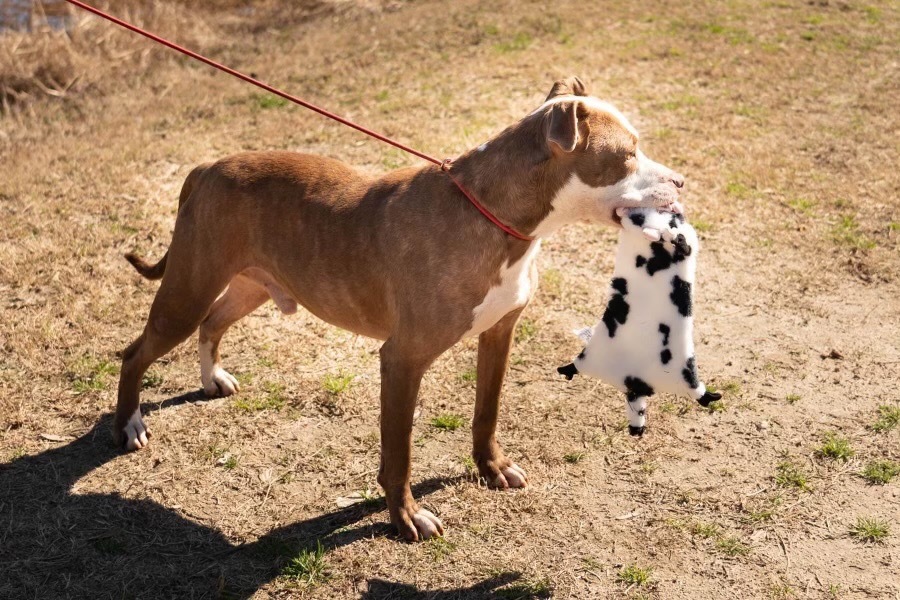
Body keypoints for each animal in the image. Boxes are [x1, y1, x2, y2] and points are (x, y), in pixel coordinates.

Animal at [116, 77, 684, 540]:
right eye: (627, 155)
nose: (680, 182)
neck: (494, 216)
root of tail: (207, 166)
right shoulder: (403, 359)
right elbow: (400, 450)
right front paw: (404, 517)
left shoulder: (498, 333)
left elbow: (486, 412)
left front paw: (490, 469)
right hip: (187, 290)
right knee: (134, 353)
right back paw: (130, 425)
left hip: (248, 285)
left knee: (211, 325)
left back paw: (211, 379)